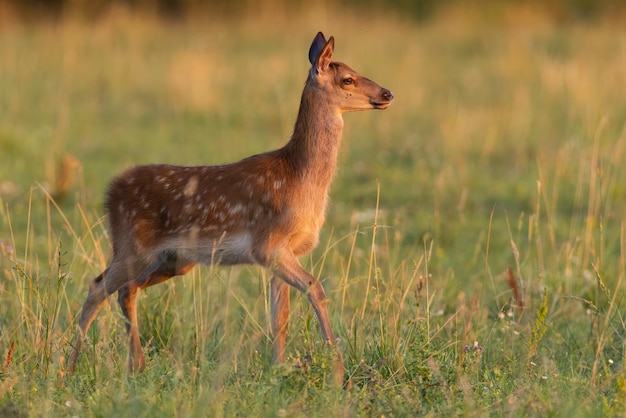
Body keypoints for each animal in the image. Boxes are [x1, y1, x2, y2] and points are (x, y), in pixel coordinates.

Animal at [67, 31, 390, 384]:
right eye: (347, 78)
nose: (387, 93)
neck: (299, 177)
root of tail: (111, 191)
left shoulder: (285, 251)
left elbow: (280, 315)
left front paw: (279, 368)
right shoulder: (267, 244)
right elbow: (315, 288)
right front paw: (336, 366)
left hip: (173, 260)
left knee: (126, 290)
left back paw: (134, 364)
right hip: (132, 246)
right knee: (98, 286)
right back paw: (69, 366)